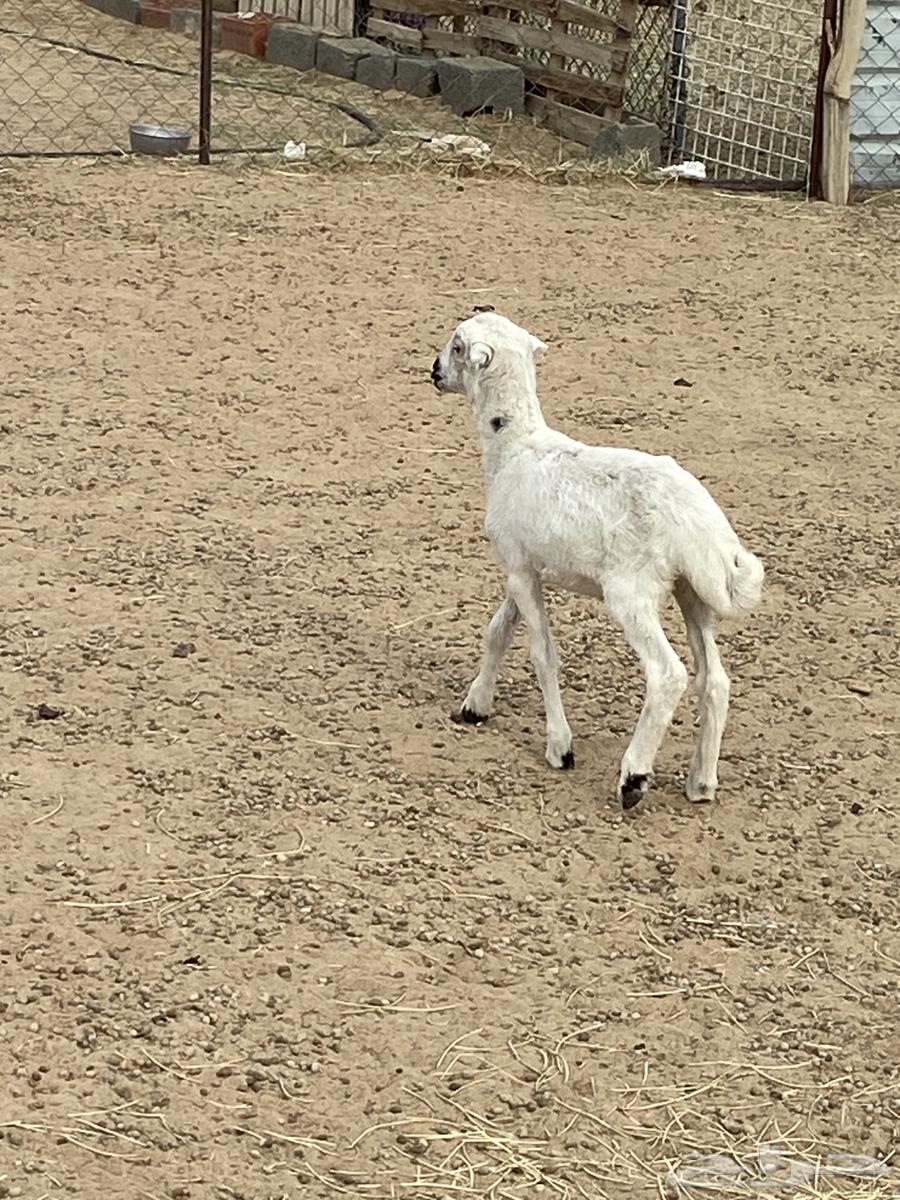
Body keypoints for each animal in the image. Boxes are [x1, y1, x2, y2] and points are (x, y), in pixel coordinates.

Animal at [431, 312, 764, 809]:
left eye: (457, 347)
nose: (434, 371)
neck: (513, 446)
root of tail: (697, 520)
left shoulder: (519, 567)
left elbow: (543, 654)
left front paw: (560, 747)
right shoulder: (525, 566)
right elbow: (498, 631)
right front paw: (476, 705)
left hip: (632, 592)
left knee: (668, 674)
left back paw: (634, 777)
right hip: (694, 589)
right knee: (715, 679)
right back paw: (702, 781)